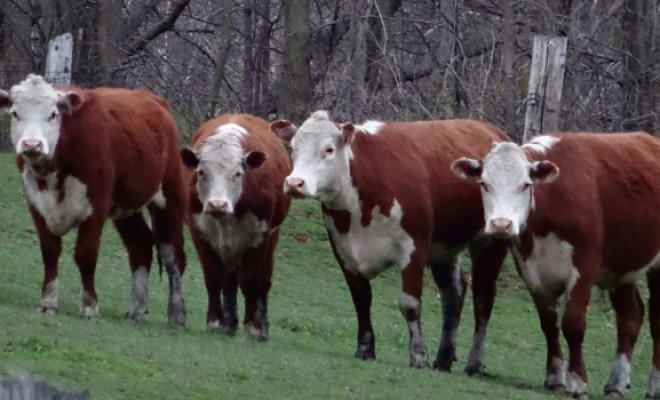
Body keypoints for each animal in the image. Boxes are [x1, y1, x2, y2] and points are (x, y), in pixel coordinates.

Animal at [0, 74, 187, 324]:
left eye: (53, 114)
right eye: (15, 113)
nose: (32, 144)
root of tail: (155, 100)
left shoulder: (96, 206)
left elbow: (86, 255)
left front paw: (89, 306)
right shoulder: (36, 204)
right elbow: (50, 251)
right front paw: (48, 302)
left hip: (170, 196)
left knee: (172, 254)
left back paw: (176, 314)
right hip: (126, 206)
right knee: (140, 245)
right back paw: (136, 309)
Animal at [179, 113, 290, 340]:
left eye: (238, 173)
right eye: (201, 172)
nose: (217, 204)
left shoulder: (260, 237)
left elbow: (251, 282)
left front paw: (253, 327)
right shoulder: (199, 233)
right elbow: (213, 278)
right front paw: (215, 322)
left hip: (271, 238)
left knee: (264, 283)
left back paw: (262, 327)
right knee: (229, 281)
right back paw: (230, 323)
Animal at [270, 109, 510, 368]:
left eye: (328, 149)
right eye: (293, 148)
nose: (294, 183)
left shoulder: (413, 247)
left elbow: (410, 304)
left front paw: (418, 356)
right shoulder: (342, 249)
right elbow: (361, 299)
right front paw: (365, 349)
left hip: (492, 241)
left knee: (483, 298)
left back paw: (474, 362)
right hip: (444, 248)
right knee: (454, 291)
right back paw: (444, 358)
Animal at [454, 133, 660, 398]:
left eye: (525, 185)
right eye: (484, 184)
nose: (501, 224)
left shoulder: (583, 269)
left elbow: (573, 325)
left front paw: (577, 382)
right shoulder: (531, 270)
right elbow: (549, 324)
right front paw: (554, 377)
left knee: (656, 319)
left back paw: (654, 385)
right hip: (622, 265)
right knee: (630, 315)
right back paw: (616, 383)